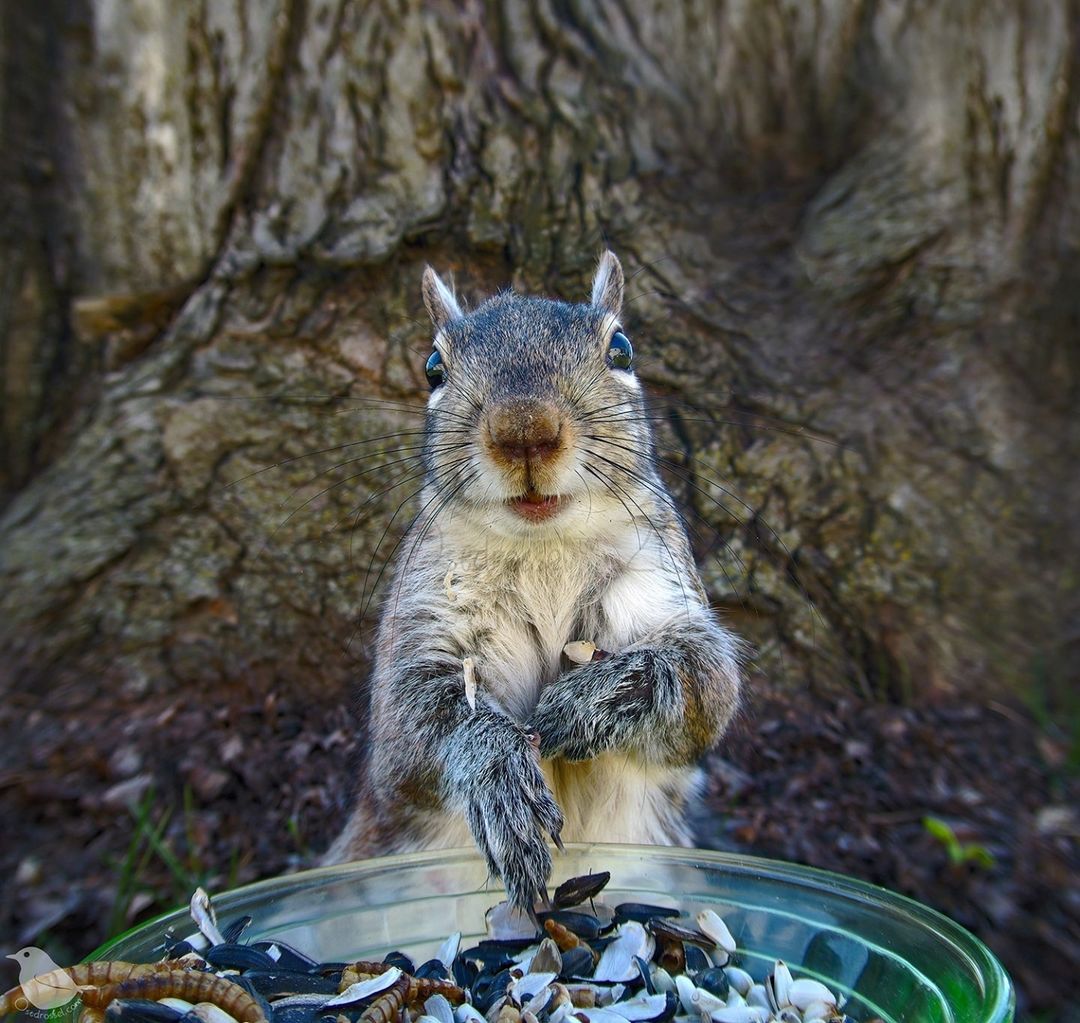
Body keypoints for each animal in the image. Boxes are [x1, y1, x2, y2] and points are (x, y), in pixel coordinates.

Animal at [321, 253, 743, 911]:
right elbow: (415, 727)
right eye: (433, 368)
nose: (524, 429)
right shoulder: (419, 625)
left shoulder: (664, 586)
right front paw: (497, 776)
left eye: (621, 349)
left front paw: (590, 702)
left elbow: (702, 683)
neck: (544, 546)